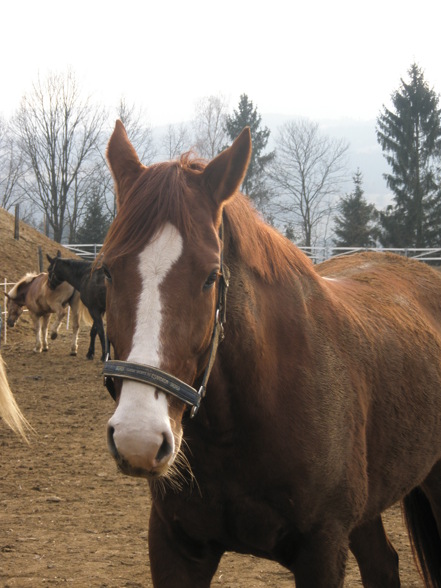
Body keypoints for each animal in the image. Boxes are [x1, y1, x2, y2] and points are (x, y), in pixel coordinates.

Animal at [99, 119, 441, 588]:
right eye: (107, 270)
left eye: (211, 277)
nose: (139, 438)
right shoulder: (175, 546)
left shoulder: (322, 550)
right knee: (382, 563)